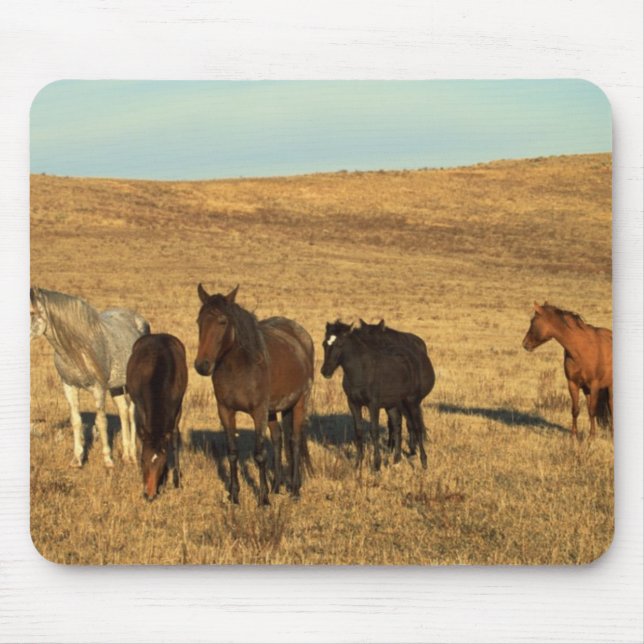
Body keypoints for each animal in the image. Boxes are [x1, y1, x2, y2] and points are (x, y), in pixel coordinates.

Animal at [30, 287, 150, 467]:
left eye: (31, 312)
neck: (78, 348)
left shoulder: (98, 388)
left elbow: (101, 422)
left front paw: (108, 460)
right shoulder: (69, 386)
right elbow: (76, 420)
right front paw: (77, 459)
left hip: (131, 385)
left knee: (132, 413)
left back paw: (133, 456)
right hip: (116, 387)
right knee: (123, 411)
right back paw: (125, 456)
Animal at [126, 333, 187, 501]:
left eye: (162, 463)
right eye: (142, 460)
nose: (149, 494)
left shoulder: (177, 407)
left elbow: (174, 437)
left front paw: (175, 482)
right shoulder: (141, 406)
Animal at [194, 284, 314, 505]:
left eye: (222, 321)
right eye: (200, 321)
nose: (202, 365)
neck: (241, 368)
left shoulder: (258, 412)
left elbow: (260, 454)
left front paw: (263, 498)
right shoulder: (225, 411)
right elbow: (232, 452)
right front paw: (234, 495)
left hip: (300, 402)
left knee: (294, 441)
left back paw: (294, 490)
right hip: (275, 409)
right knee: (278, 438)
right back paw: (277, 486)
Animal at [522, 301, 613, 438]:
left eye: (533, 321)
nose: (525, 344)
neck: (582, 348)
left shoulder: (595, 385)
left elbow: (592, 411)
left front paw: (591, 437)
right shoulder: (573, 384)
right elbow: (576, 410)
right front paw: (574, 436)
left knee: (611, 408)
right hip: (587, 390)